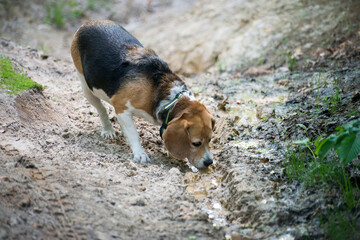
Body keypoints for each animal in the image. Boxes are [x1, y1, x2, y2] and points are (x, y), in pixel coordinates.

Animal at [71, 20, 215, 169]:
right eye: (196, 143)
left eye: (210, 139)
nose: (209, 162)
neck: (170, 98)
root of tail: (89, 23)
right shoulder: (122, 107)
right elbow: (134, 134)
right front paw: (140, 154)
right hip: (87, 88)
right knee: (102, 109)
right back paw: (108, 130)